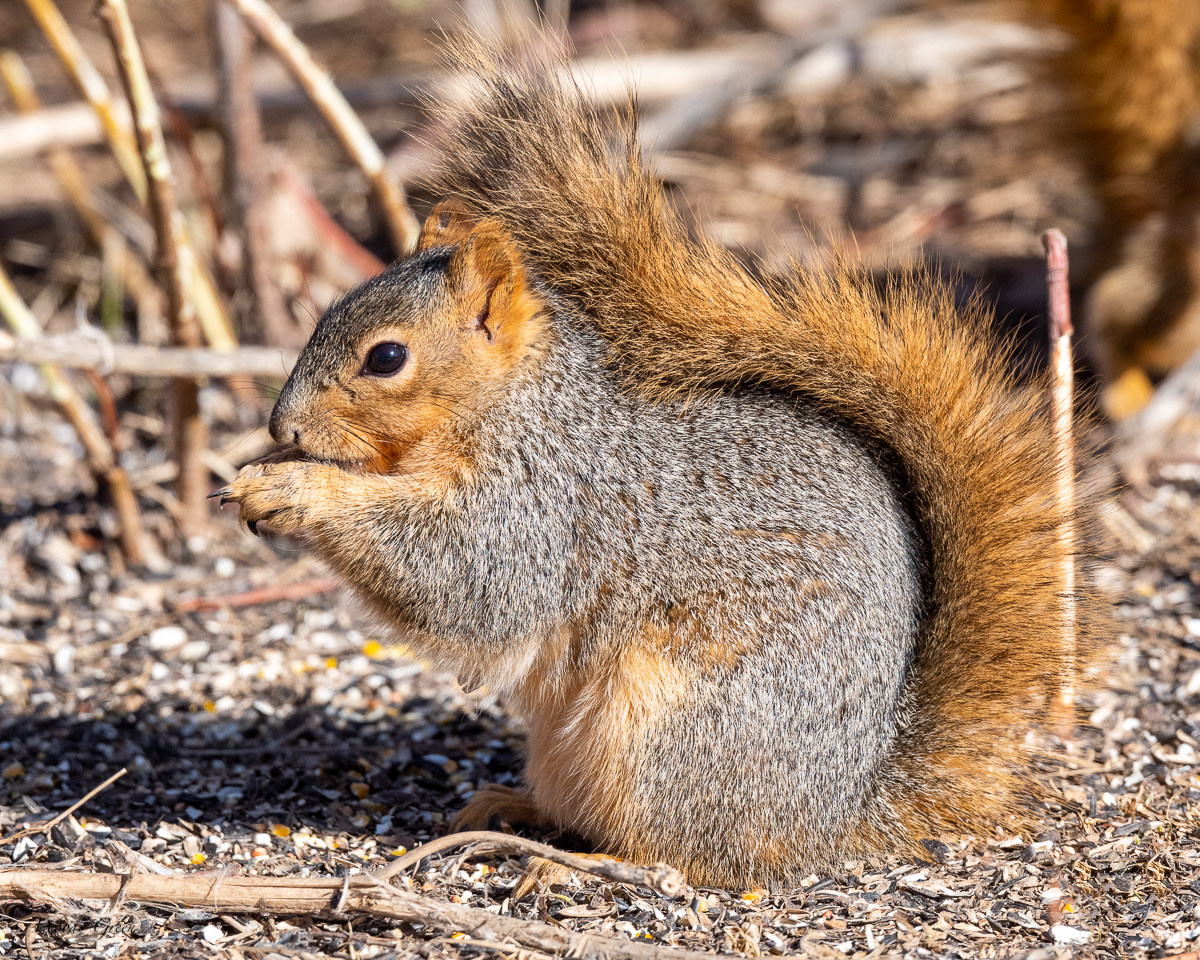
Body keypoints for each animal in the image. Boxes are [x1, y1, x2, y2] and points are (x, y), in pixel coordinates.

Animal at [217, 44, 1087, 890]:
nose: (280, 425)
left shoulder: (543, 503)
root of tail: (832, 814)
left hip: (668, 729)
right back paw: (514, 808)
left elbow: (461, 577)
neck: (515, 406)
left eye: (387, 357)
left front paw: (293, 487)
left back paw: (579, 866)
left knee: (684, 857)